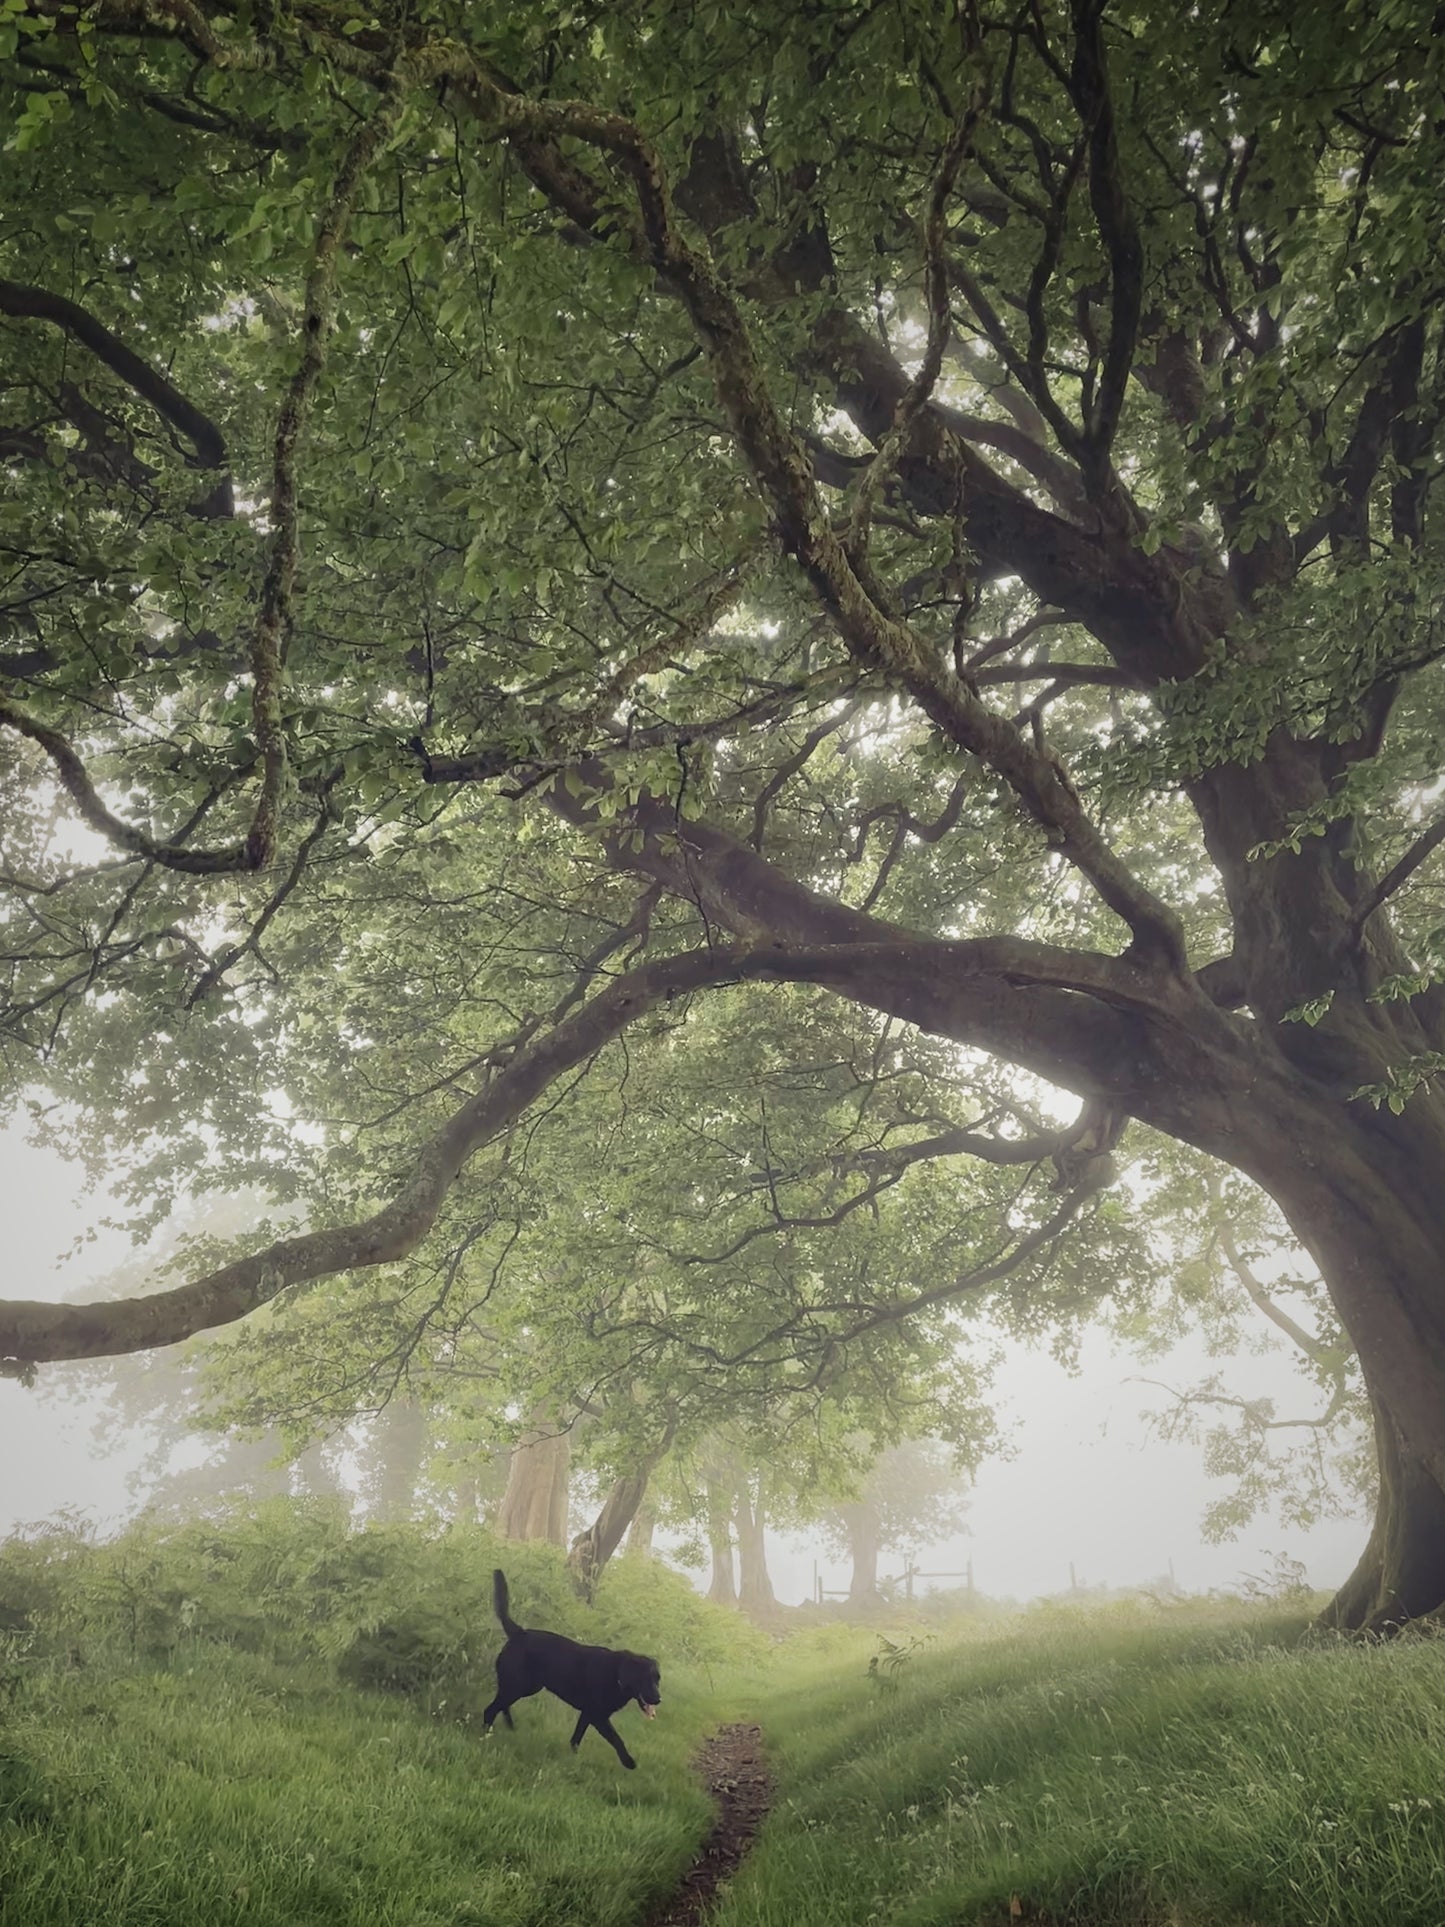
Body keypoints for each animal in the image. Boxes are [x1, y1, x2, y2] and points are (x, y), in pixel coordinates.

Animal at [487, 1572, 666, 1765]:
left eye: (657, 1679)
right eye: (645, 1678)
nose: (658, 1699)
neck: (616, 1675)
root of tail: (519, 1632)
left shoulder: (587, 1714)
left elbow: (576, 1738)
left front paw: (572, 1758)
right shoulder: (598, 1716)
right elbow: (616, 1738)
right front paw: (628, 1761)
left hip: (525, 1687)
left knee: (501, 1706)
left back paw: (510, 1728)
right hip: (518, 1686)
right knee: (490, 1709)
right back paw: (486, 1735)